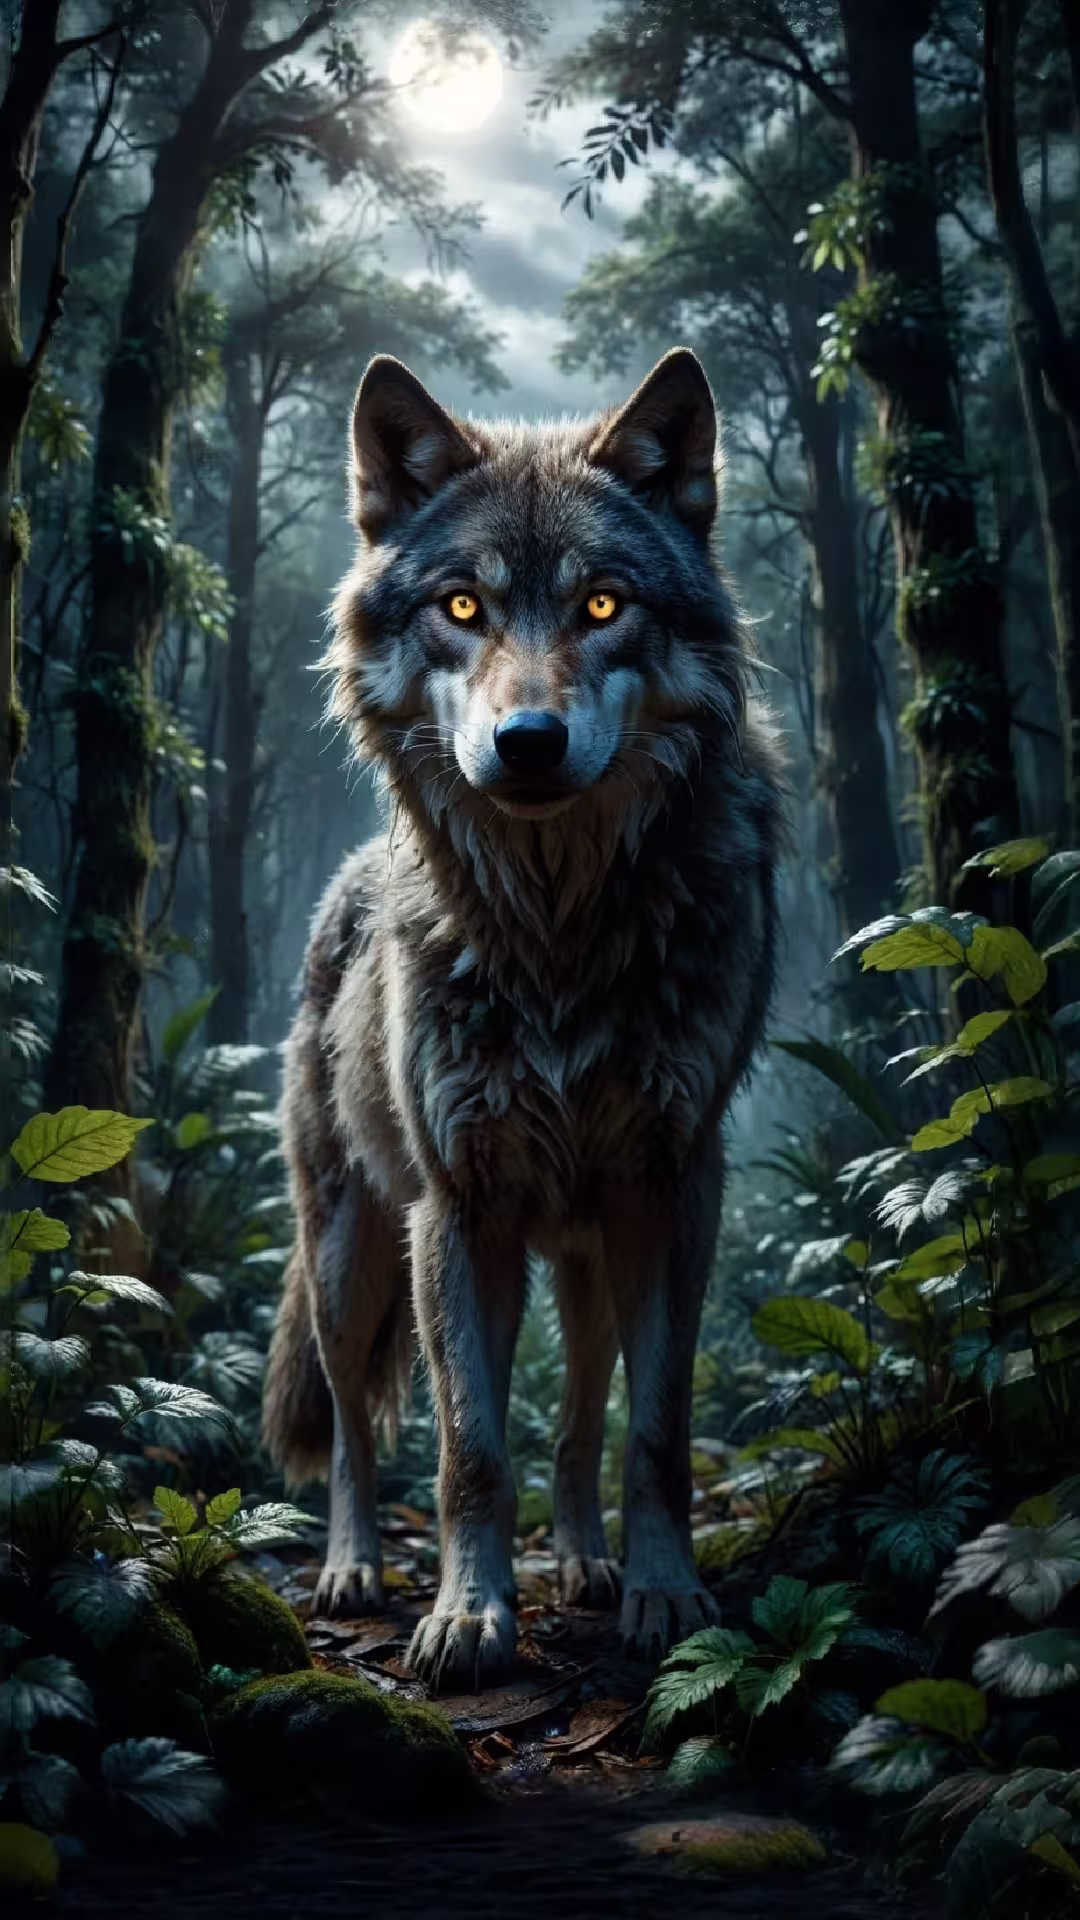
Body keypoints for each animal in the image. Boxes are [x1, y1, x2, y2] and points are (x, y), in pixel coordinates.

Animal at [261, 346, 784, 1694]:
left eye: (602, 606)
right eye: (462, 607)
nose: (529, 742)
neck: (557, 938)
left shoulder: (675, 1189)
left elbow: (653, 1431)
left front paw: (664, 1593)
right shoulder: (460, 1210)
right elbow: (469, 1454)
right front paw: (468, 1619)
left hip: (589, 1257)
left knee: (583, 1418)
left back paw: (591, 1563)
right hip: (350, 1254)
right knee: (352, 1427)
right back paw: (351, 1570)